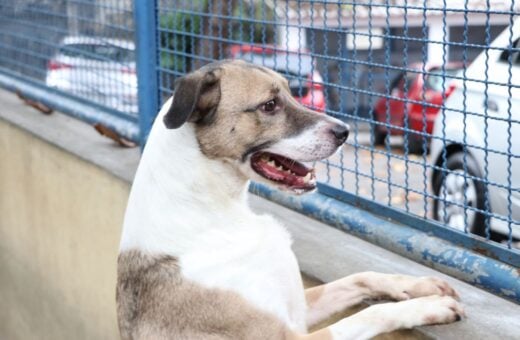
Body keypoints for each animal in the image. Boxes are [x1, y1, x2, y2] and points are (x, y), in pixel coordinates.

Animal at [117, 59, 464, 338]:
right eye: (270, 104)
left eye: (290, 92)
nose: (345, 132)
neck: (217, 213)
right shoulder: (290, 336)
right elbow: (369, 314)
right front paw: (429, 307)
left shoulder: (300, 307)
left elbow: (359, 277)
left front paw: (417, 287)